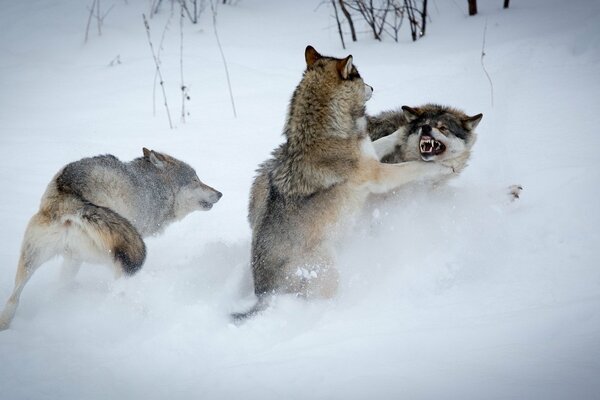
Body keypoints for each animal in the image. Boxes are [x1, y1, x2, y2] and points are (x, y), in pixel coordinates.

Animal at [0, 148, 223, 330]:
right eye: (195, 180)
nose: (220, 193)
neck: (151, 188)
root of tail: (69, 197)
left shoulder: (71, 258)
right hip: (120, 260)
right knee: (118, 291)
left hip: (37, 260)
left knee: (14, 299)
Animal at [237, 46, 452, 322]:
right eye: (359, 75)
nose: (372, 87)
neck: (324, 131)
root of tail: (264, 293)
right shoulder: (379, 175)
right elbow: (414, 167)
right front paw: (441, 167)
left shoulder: (370, 155)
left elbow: (386, 140)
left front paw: (403, 129)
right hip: (328, 270)